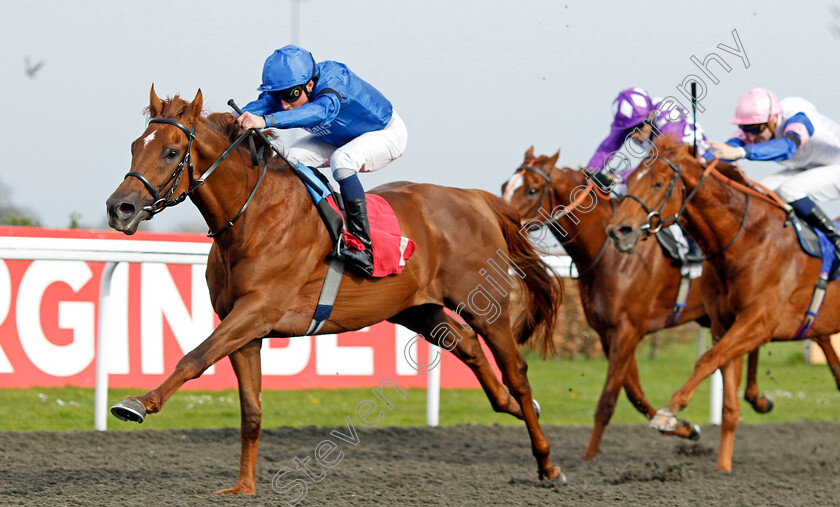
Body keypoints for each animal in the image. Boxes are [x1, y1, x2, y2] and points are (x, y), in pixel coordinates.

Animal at [103, 89, 564, 494]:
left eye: (171, 151)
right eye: (134, 146)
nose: (119, 208)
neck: (254, 217)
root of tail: (475, 198)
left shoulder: (259, 310)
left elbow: (194, 357)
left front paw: (137, 403)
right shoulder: (242, 326)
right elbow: (251, 410)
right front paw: (243, 487)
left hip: (484, 306)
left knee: (516, 372)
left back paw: (547, 461)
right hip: (416, 309)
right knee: (467, 347)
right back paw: (510, 407)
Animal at [608, 138, 840, 472]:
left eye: (658, 183)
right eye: (629, 180)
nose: (618, 231)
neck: (745, 240)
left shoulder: (758, 321)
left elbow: (706, 360)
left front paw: (668, 413)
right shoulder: (725, 323)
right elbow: (728, 401)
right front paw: (723, 468)